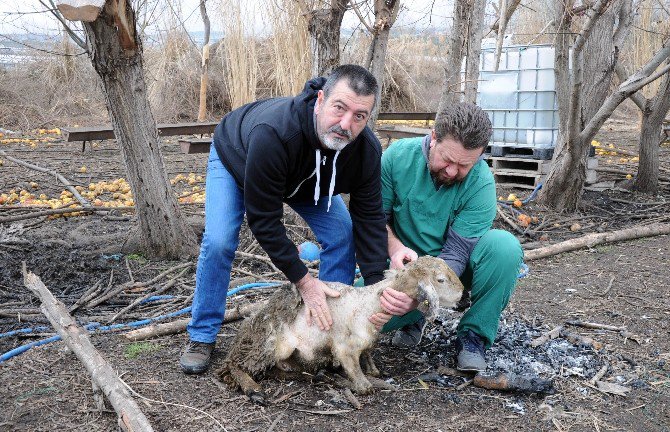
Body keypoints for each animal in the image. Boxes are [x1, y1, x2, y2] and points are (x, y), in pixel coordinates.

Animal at [218, 256, 464, 402]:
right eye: (441, 280)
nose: (464, 296)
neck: (369, 305)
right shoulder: (344, 348)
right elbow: (357, 374)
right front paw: (359, 384)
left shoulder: (367, 342)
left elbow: (369, 356)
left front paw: (372, 370)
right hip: (268, 344)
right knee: (233, 366)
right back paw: (253, 389)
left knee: (275, 370)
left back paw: (316, 376)